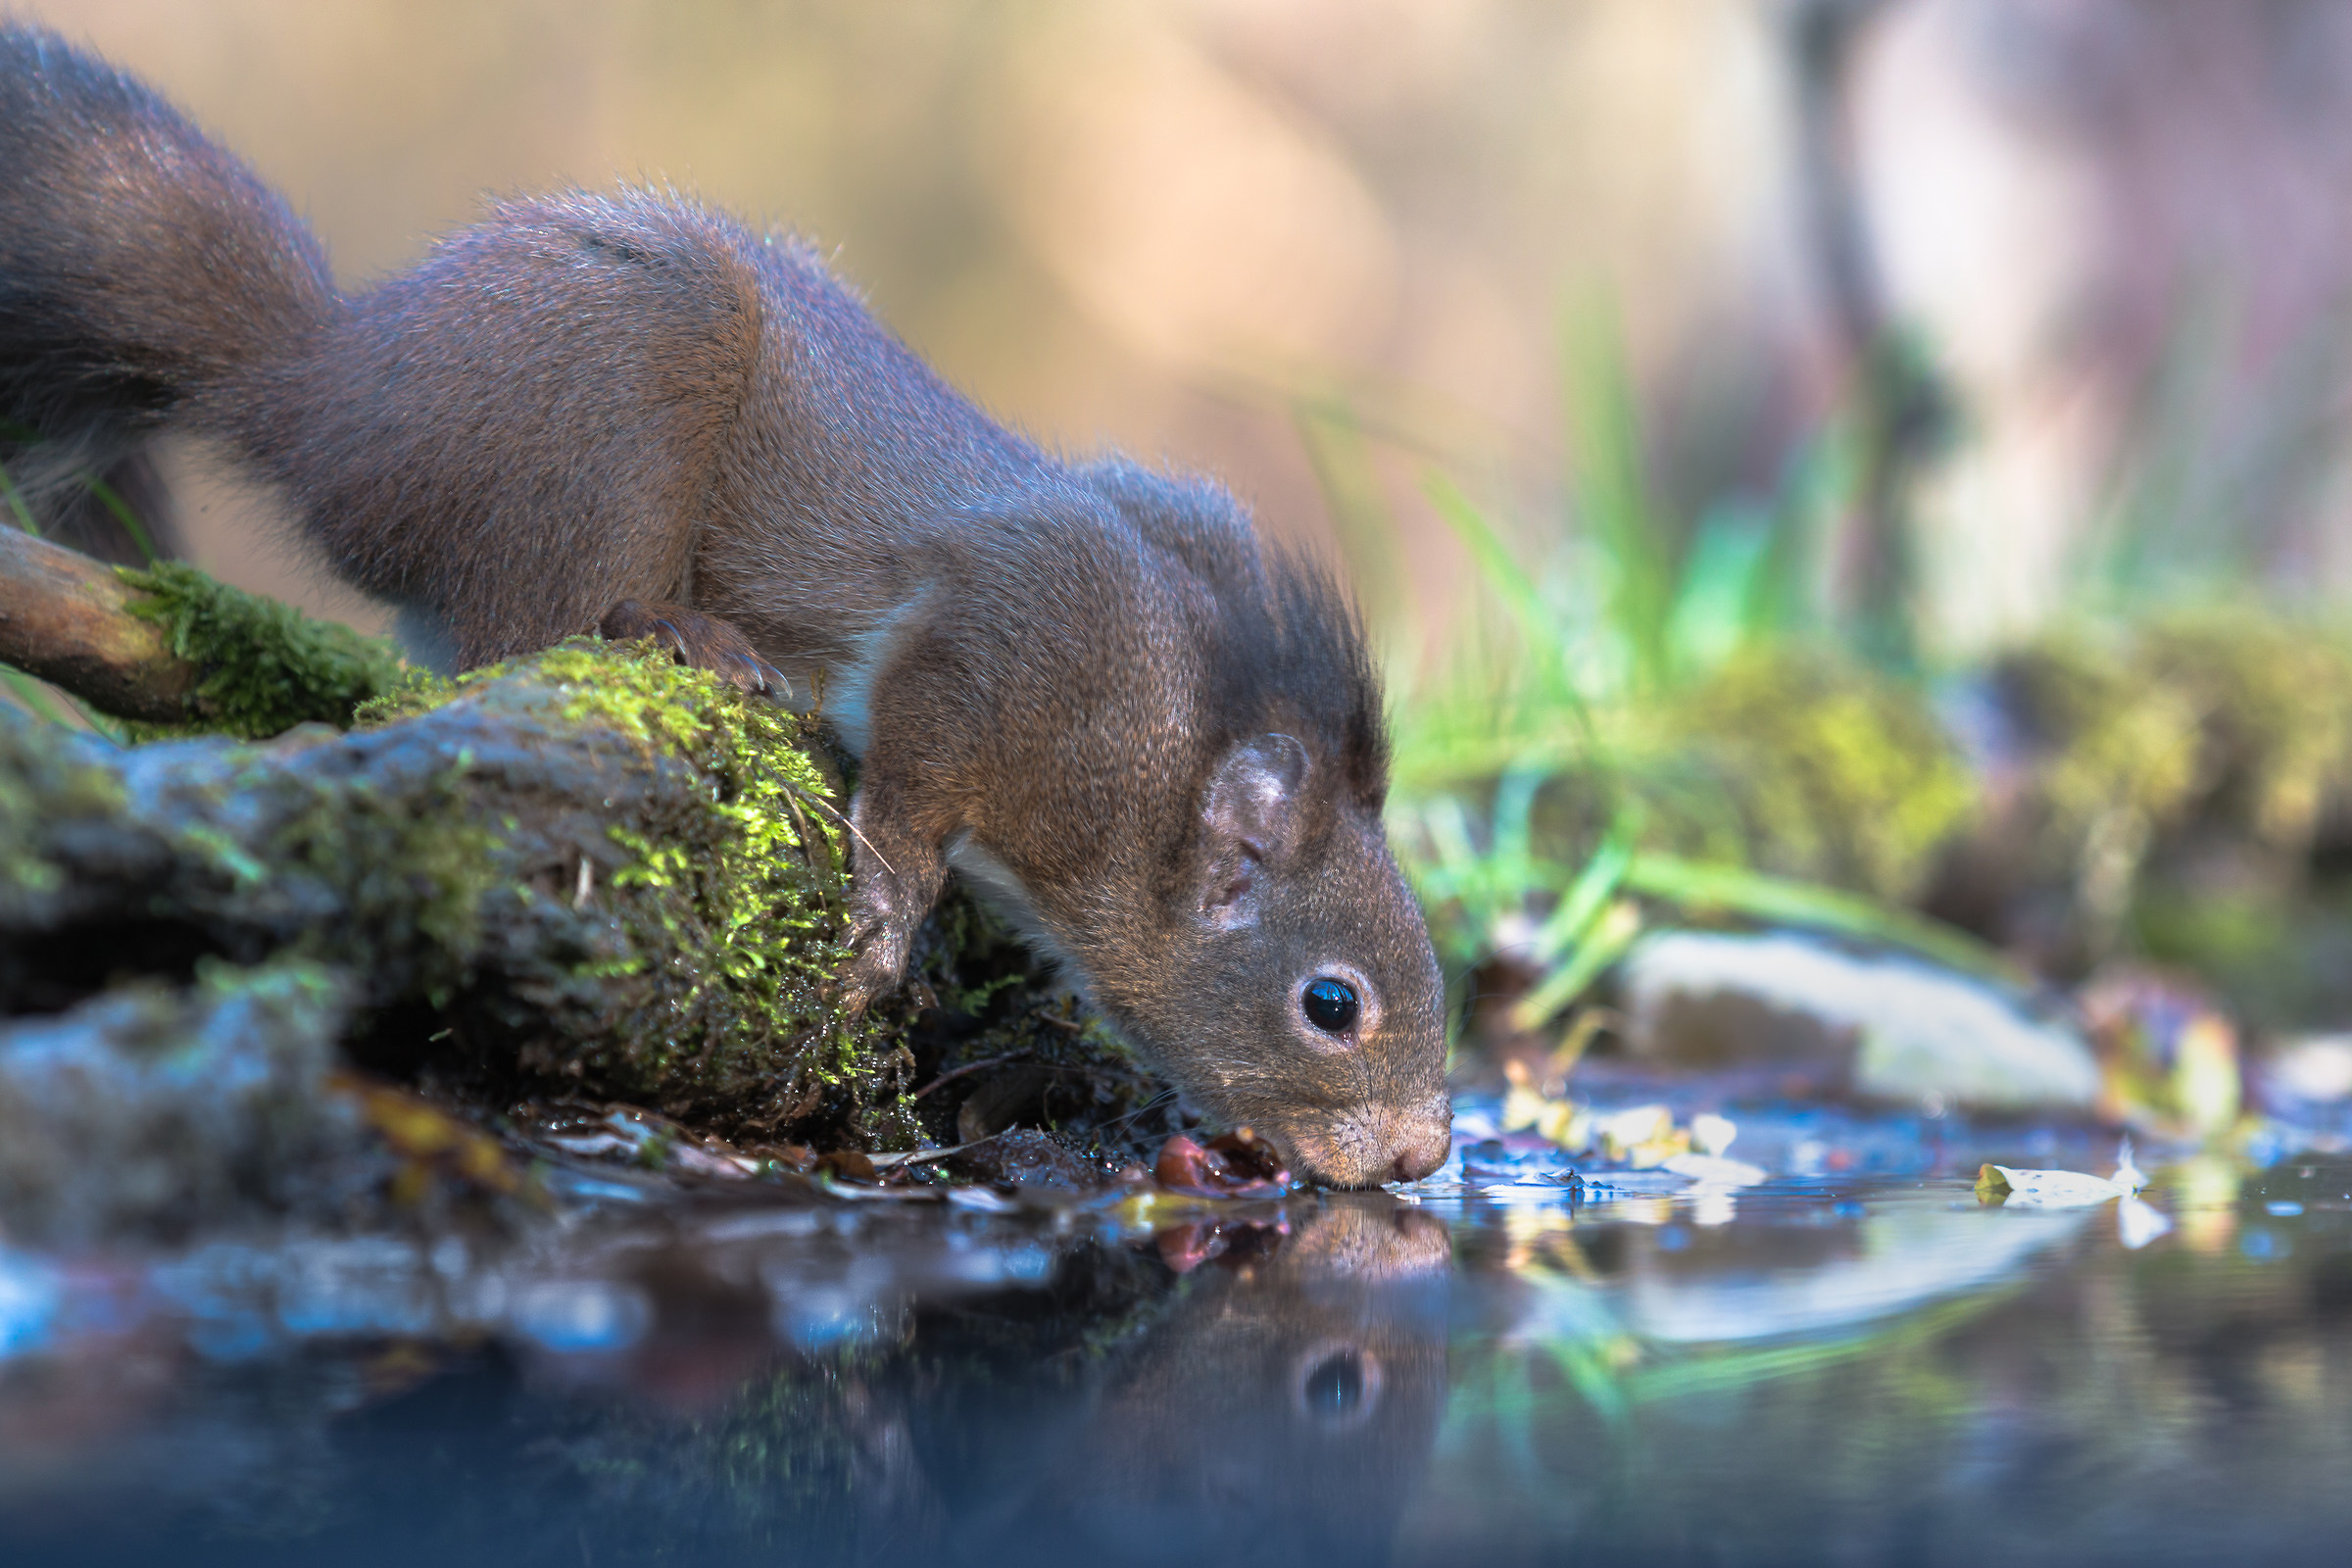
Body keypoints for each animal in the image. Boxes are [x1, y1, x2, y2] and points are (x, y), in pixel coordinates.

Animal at [0, 26, 1452, 1186]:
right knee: (532, 623)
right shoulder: (1014, 632)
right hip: (627, 382)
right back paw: (678, 633)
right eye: (1334, 1003)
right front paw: (886, 921)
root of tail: (334, 402)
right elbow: (915, 767)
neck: (1160, 765)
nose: (1422, 1157)